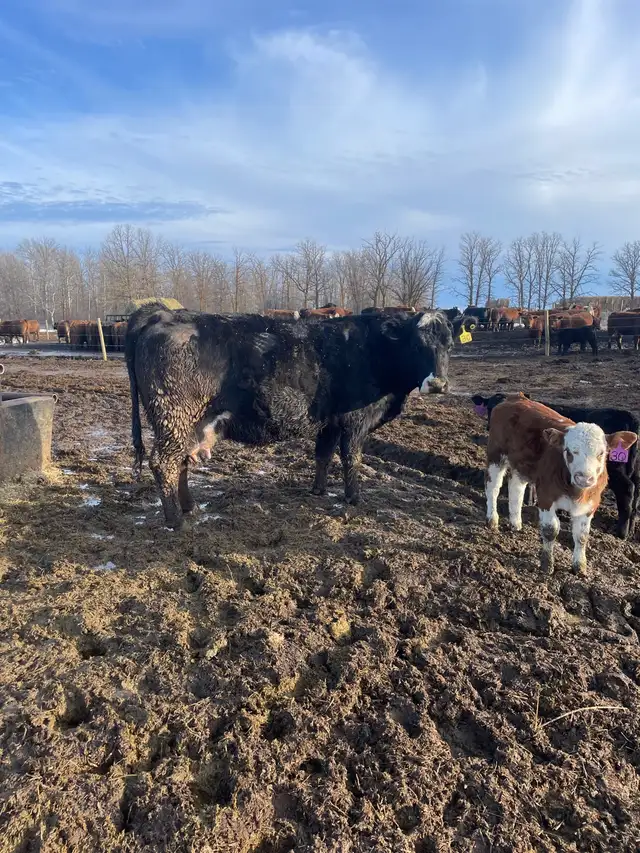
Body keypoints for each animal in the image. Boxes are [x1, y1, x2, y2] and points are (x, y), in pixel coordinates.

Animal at [126, 304, 463, 529]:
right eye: (417, 344)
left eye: (449, 344)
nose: (438, 384)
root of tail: (163, 314)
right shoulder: (355, 421)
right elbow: (352, 459)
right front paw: (353, 500)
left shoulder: (331, 421)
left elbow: (323, 455)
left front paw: (319, 491)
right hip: (173, 416)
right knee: (164, 463)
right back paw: (176, 521)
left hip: (186, 424)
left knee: (180, 462)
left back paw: (190, 508)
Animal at [485, 396, 637, 572]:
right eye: (569, 451)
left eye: (602, 453)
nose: (584, 478)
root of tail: (515, 397)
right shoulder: (545, 496)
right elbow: (550, 529)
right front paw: (547, 564)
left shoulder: (591, 504)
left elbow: (582, 536)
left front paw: (580, 567)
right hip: (496, 455)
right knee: (493, 488)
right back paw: (492, 520)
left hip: (521, 465)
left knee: (516, 488)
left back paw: (516, 523)